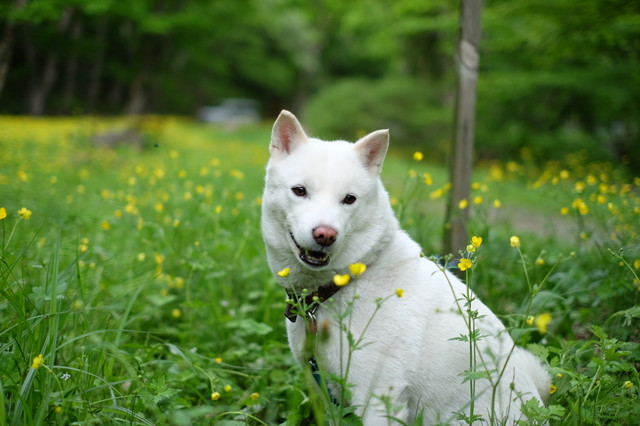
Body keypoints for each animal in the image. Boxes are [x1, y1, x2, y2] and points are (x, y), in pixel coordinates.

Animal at [260, 110, 552, 422]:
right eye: (299, 190)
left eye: (349, 199)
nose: (325, 235)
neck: (347, 280)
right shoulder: (325, 390)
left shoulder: (379, 397)